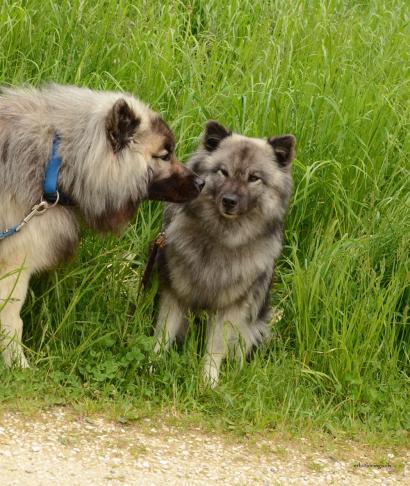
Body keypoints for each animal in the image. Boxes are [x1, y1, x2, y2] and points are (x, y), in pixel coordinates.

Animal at [0, 83, 205, 366]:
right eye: (164, 155)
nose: (201, 183)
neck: (56, 161)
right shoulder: (13, 265)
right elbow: (12, 322)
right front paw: (18, 365)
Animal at [155, 122, 294, 388]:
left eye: (253, 178)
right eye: (223, 172)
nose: (229, 201)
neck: (220, 238)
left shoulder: (231, 308)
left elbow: (215, 348)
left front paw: (208, 382)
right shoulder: (176, 294)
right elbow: (163, 334)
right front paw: (149, 364)